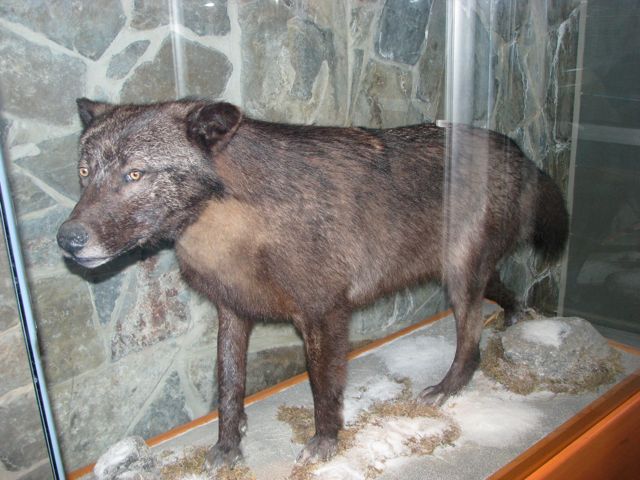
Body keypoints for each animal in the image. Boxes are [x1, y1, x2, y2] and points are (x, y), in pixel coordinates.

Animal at [57, 99, 568, 468]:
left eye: (134, 174)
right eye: (84, 172)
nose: (67, 239)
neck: (235, 225)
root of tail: (522, 153)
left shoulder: (324, 316)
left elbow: (323, 387)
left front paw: (324, 443)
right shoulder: (233, 312)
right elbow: (228, 386)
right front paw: (228, 447)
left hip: (460, 283)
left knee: (471, 342)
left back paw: (448, 386)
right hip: (463, 275)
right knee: (502, 296)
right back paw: (518, 316)